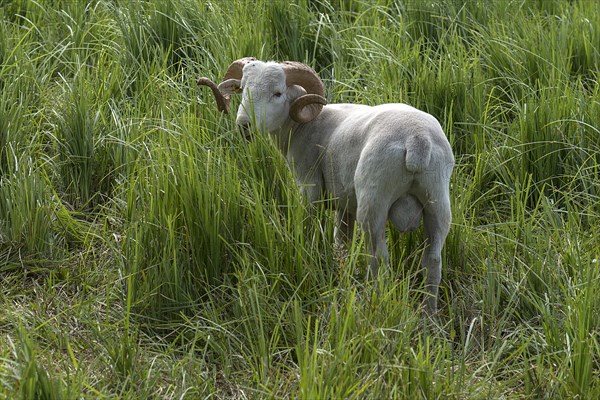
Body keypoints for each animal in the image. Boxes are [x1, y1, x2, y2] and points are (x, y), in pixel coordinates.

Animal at [199, 57, 452, 312]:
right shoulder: (344, 203)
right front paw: (341, 274)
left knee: (379, 258)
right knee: (433, 260)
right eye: (242, 88)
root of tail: (417, 140)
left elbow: (310, 227)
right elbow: (341, 243)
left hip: (374, 200)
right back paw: (428, 313)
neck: (301, 126)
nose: (244, 125)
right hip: (437, 201)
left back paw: (373, 303)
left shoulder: (309, 185)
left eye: (277, 93)